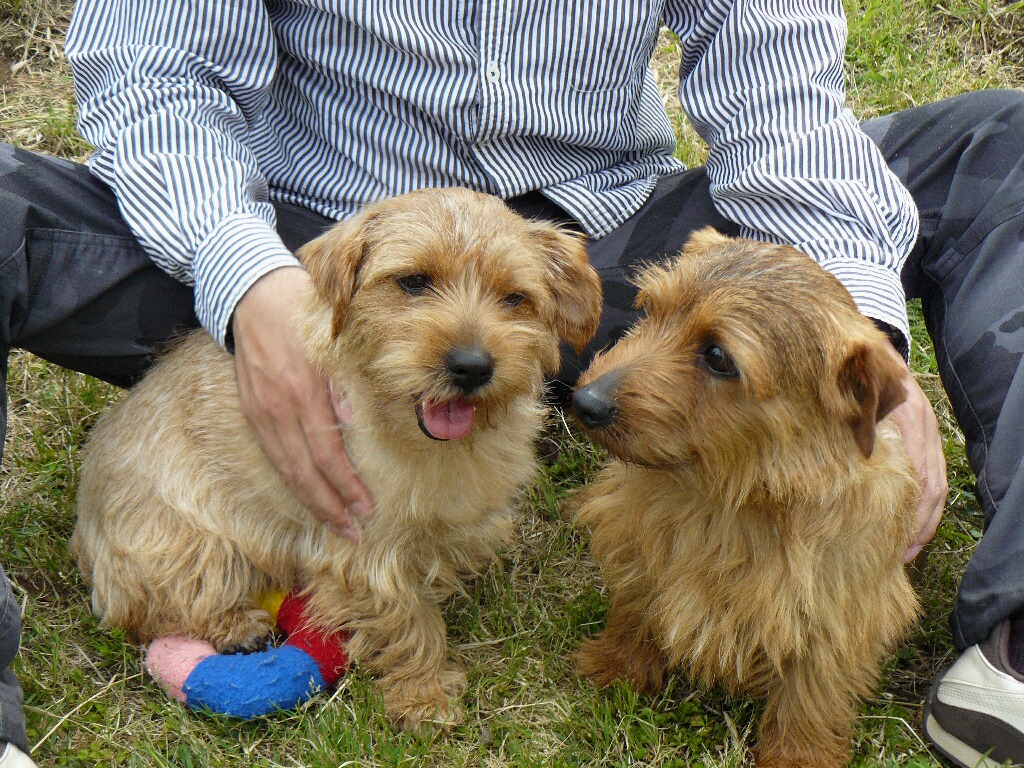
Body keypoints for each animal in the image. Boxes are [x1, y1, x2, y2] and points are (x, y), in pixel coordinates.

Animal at [71, 187, 603, 731]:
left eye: (515, 298)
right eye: (414, 281)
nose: (472, 366)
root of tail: (84, 532)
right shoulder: (364, 549)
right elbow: (407, 619)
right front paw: (423, 695)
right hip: (184, 543)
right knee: (148, 606)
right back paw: (236, 624)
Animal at [569, 228, 921, 768]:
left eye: (718, 357)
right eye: (650, 309)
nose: (584, 402)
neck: (726, 495)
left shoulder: (838, 608)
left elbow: (811, 689)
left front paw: (799, 753)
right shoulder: (635, 542)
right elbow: (635, 606)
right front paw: (616, 665)